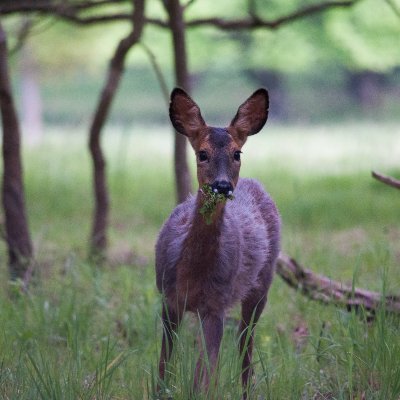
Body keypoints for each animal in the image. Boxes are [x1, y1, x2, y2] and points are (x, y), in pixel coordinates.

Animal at [155, 87, 280, 396]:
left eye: (237, 153)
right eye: (202, 153)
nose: (222, 186)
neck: (192, 274)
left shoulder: (216, 304)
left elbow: (205, 378)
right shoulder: (168, 298)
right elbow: (164, 368)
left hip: (261, 284)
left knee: (245, 344)